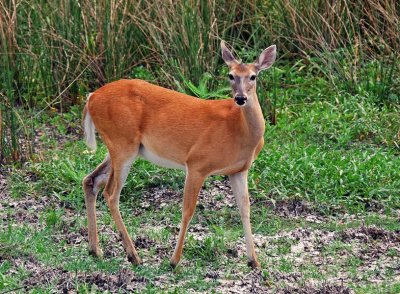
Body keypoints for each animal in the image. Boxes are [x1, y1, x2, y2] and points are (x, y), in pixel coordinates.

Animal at [81, 40, 276, 268]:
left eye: (253, 76)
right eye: (231, 75)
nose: (240, 98)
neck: (238, 130)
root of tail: (91, 97)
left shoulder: (238, 170)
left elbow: (245, 209)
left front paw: (254, 261)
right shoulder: (197, 163)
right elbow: (187, 211)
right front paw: (174, 261)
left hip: (120, 147)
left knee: (91, 180)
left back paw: (95, 250)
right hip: (122, 143)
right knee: (111, 194)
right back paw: (133, 255)